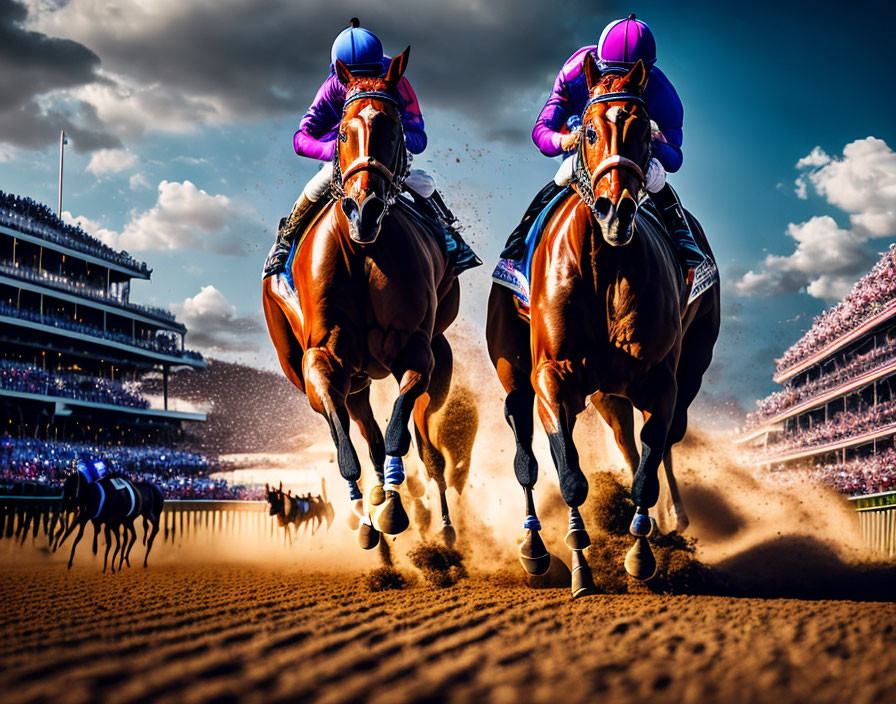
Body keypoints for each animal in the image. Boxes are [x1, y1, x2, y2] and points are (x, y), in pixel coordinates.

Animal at [260, 49, 476, 552]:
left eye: (393, 129)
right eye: (342, 131)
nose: (364, 210)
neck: (360, 251)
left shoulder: (417, 350)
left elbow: (400, 434)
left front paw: (395, 509)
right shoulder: (321, 363)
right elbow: (349, 452)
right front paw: (369, 515)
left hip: (433, 363)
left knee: (425, 447)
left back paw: (441, 524)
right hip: (339, 378)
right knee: (366, 437)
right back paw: (372, 514)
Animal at [486, 57, 716, 592]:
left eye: (643, 132)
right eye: (589, 131)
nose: (616, 210)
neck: (604, 265)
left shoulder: (661, 380)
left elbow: (647, 472)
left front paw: (642, 554)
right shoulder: (550, 375)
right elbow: (569, 474)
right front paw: (579, 565)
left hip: (674, 372)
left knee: (653, 444)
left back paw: (672, 519)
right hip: (523, 372)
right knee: (527, 451)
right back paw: (533, 547)